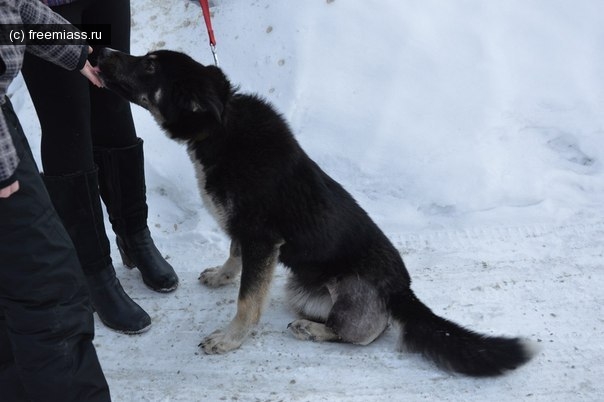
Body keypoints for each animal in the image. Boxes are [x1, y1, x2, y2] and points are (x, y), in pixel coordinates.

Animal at [96, 49, 536, 376]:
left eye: (150, 65)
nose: (101, 51)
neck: (221, 128)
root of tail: (403, 291)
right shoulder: (247, 234)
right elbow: (234, 254)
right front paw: (222, 276)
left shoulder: (261, 239)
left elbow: (247, 300)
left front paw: (230, 339)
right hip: (298, 286)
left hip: (349, 292)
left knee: (362, 334)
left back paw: (312, 330)